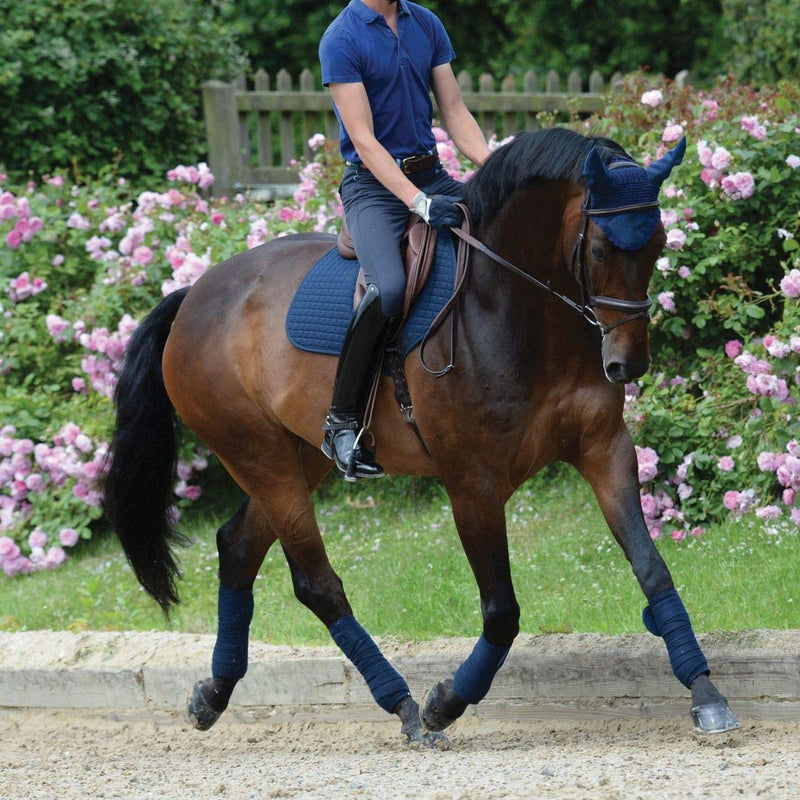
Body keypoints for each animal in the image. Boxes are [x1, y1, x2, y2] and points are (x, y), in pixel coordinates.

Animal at [103, 126, 740, 744]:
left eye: (658, 244)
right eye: (603, 248)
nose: (627, 365)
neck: (514, 307)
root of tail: (195, 295)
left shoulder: (604, 449)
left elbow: (652, 569)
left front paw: (707, 694)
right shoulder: (471, 483)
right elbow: (502, 611)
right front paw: (446, 704)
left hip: (296, 457)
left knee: (237, 547)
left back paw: (213, 694)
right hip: (258, 456)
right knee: (317, 584)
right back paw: (404, 706)